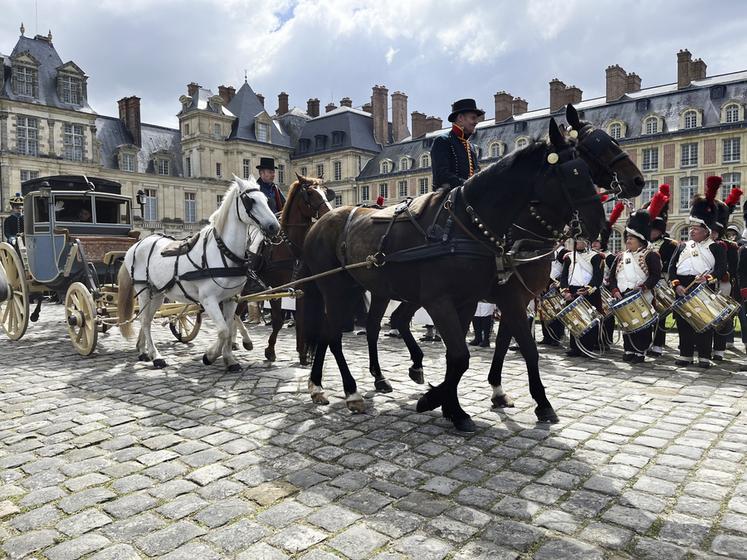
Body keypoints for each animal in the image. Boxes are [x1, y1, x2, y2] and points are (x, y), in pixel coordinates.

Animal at [117, 176, 280, 371]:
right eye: (251, 200)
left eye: (267, 200)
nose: (274, 227)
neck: (224, 252)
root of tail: (137, 244)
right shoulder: (208, 300)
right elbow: (223, 330)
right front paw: (210, 355)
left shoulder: (231, 299)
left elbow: (229, 326)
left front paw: (229, 359)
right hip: (144, 290)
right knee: (145, 321)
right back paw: (156, 356)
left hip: (157, 293)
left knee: (146, 319)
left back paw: (143, 350)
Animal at [234, 174, 334, 364]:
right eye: (310, 193)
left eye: (325, 192)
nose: (329, 214)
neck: (290, 247)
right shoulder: (275, 289)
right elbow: (278, 321)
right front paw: (270, 351)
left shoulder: (301, 288)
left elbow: (301, 319)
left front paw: (302, 354)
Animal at [302, 115, 607, 432]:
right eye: (572, 172)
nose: (601, 225)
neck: (470, 227)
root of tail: (320, 222)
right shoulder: (451, 300)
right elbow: (463, 355)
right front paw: (449, 406)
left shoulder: (478, 300)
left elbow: (475, 353)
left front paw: (448, 401)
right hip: (336, 290)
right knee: (334, 335)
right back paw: (349, 391)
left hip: (371, 290)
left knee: (364, 327)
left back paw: (337, 383)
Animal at [363, 104, 646, 424]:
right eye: (598, 143)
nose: (638, 181)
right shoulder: (505, 297)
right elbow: (519, 347)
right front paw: (535, 401)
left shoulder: (513, 299)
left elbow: (501, 343)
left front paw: (493, 391)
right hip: (390, 291)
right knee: (377, 325)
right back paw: (383, 376)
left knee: (398, 320)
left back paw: (415, 369)